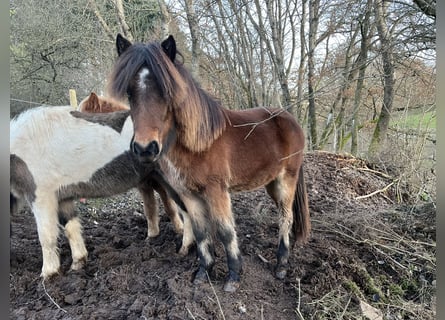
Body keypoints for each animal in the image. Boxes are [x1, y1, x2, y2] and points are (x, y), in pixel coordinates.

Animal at [108, 34, 308, 292]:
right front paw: (204, 273)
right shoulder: (189, 195)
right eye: (129, 93)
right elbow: (202, 232)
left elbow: (225, 231)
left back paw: (281, 265)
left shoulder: (216, 191)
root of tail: (290, 119)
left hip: (286, 180)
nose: (145, 148)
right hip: (271, 183)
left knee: (286, 217)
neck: (199, 142)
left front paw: (233, 277)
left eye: (166, 93)